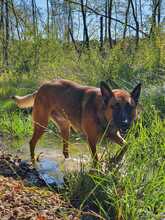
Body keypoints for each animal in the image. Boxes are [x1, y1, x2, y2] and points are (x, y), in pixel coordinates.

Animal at [12, 79, 142, 162]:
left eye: (130, 107)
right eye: (115, 106)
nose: (125, 124)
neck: (101, 112)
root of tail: (41, 87)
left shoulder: (113, 135)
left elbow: (127, 145)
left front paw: (117, 159)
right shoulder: (92, 140)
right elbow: (96, 159)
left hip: (65, 129)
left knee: (65, 151)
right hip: (41, 125)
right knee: (32, 143)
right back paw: (33, 161)